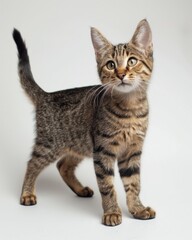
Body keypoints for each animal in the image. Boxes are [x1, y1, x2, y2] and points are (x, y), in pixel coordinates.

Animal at [12, 19, 156, 227]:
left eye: (132, 61)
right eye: (110, 65)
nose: (121, 74)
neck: (130, 109)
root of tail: (46, 95)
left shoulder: (132, 151)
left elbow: (134, 183)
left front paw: (137, 209)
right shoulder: (103, 151)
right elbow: (107, 186)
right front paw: (112, 212)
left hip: (81, 144)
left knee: (63, 165)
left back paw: (80, 190)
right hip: (50, 144)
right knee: (32, 163)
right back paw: (27, 193)